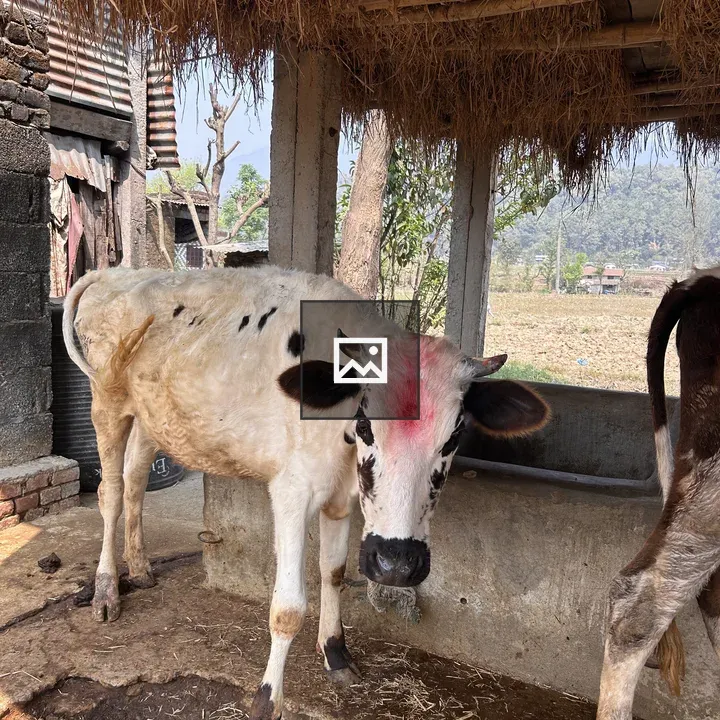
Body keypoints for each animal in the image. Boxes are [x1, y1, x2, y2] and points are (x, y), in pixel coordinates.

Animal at [63, 266, 550, 720]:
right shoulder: (292, 492)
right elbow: (288, 607)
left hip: (153, 417)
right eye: (366, 425)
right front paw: (267, 698)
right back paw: (106, 590)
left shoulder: (342, 500)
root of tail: (116, 272)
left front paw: (335, 653)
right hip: (106, 401)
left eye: (454, 438)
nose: (396, 564)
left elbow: (333, 573)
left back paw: (141, 566)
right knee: (111, 491)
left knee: (136, 480)